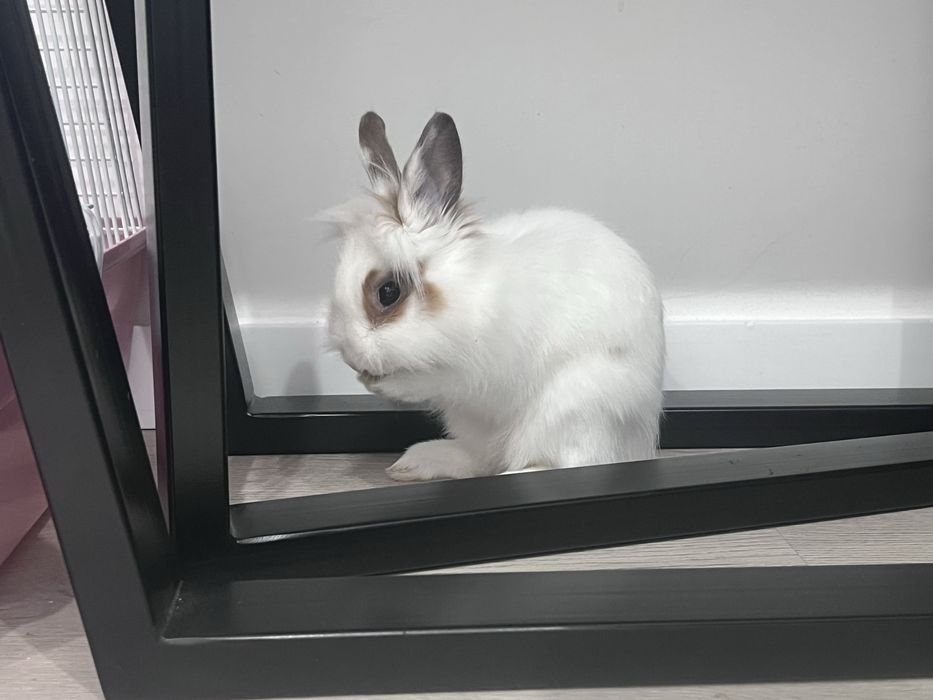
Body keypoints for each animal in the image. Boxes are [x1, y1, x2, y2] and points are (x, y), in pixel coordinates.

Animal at [326, 111, 665, 482]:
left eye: (388, 292)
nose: (351, 357)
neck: (467, 292)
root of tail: (639, 443)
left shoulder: (469, 371)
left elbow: (423, 381)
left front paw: (376, 383)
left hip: (573, 411)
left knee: (572, 463)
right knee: (480, 459)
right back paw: (411, 464)